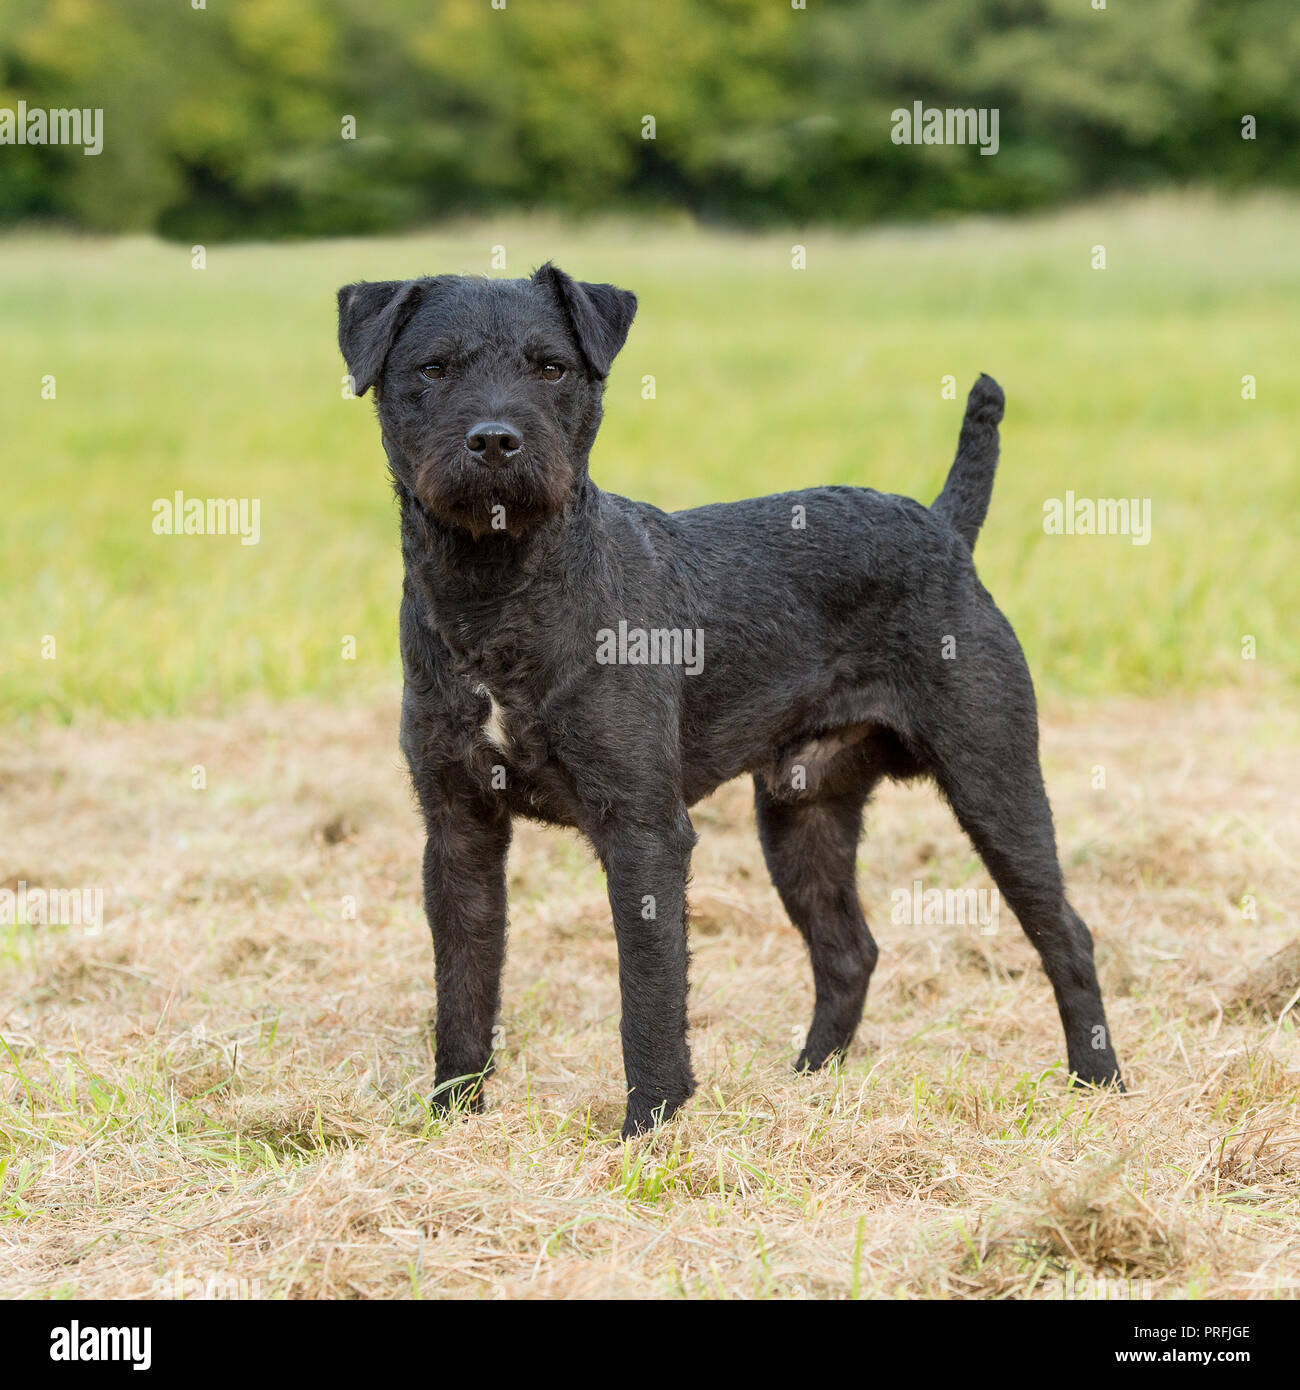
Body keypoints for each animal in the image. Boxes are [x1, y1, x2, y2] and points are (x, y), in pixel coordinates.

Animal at [340, 265, 1123, 1134]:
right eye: (433, 369)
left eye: (550, 368)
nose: (494, 439)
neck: (501, 595)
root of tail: (946, 527)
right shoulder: (459, 828)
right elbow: (464, 987)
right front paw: (452, 1111)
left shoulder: (643, 831)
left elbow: (648, 994)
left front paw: (650, 1124)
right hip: (801, 814)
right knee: (849, 951)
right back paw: (811, 1080)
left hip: (995, 780)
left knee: (1068, 935)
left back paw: (1097, 1084)